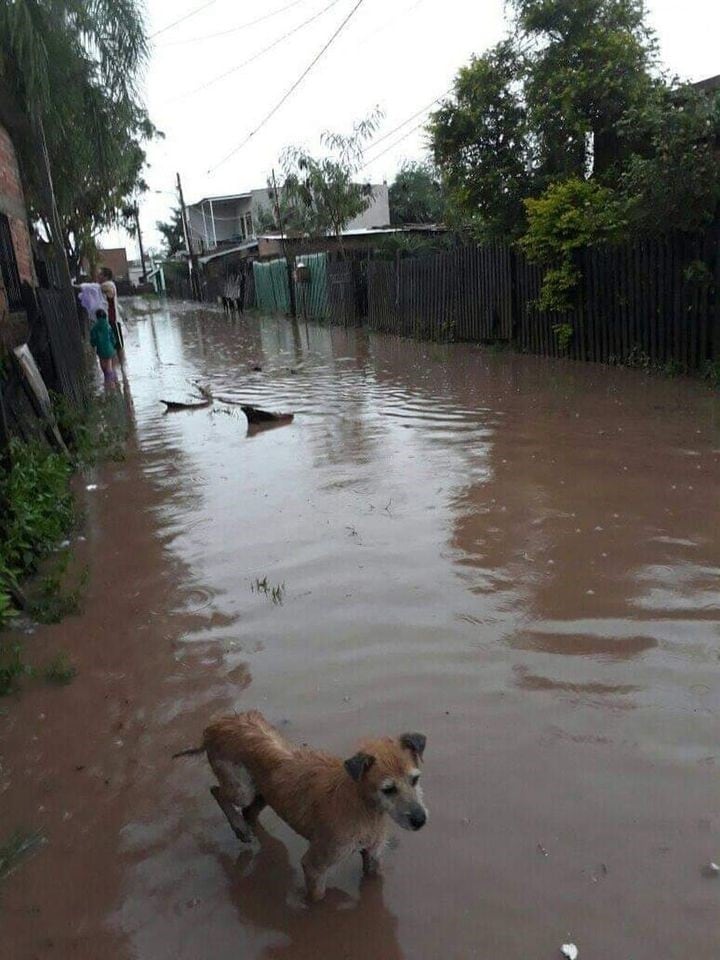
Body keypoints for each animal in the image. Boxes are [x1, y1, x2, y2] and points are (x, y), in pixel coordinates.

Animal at [174, 704, 428, 900]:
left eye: (415, 779)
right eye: (388, 789)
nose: (420, 820)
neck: (363, 806)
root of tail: (215, 726)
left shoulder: (373, 856)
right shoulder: (316, 864)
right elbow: (317, 897)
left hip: (264, 792)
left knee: (249, 811)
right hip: (241, 788)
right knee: (217, 791)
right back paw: (239, 828)